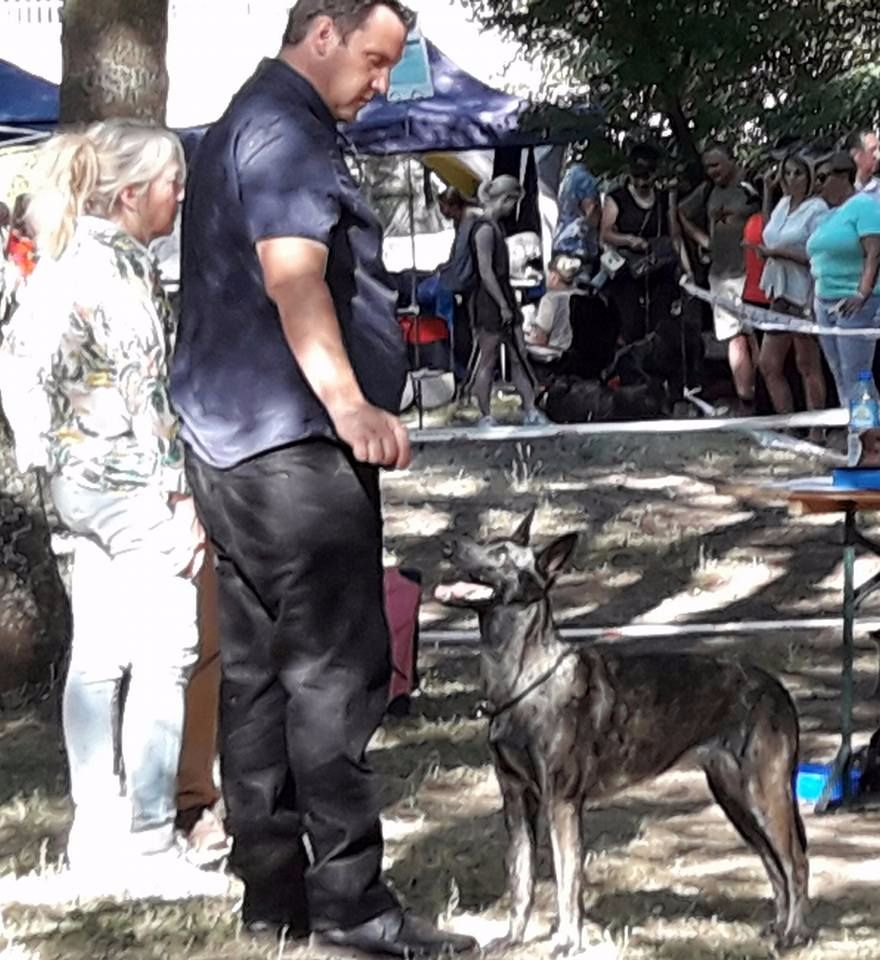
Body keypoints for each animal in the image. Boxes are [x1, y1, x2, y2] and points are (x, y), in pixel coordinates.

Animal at [434, 510, 812, 952]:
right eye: (487, 543)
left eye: (501, 554)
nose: (448, 546)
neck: (522, 679)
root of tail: (777, 687)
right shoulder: (516, 802)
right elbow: (521, 879)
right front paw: (513, 938)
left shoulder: (560, 804)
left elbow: (567, 881)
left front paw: (567, 943)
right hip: (735, 799)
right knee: (773, 863)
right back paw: (780, 928)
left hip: (763, 794)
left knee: (795, 862)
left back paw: (795, 934)